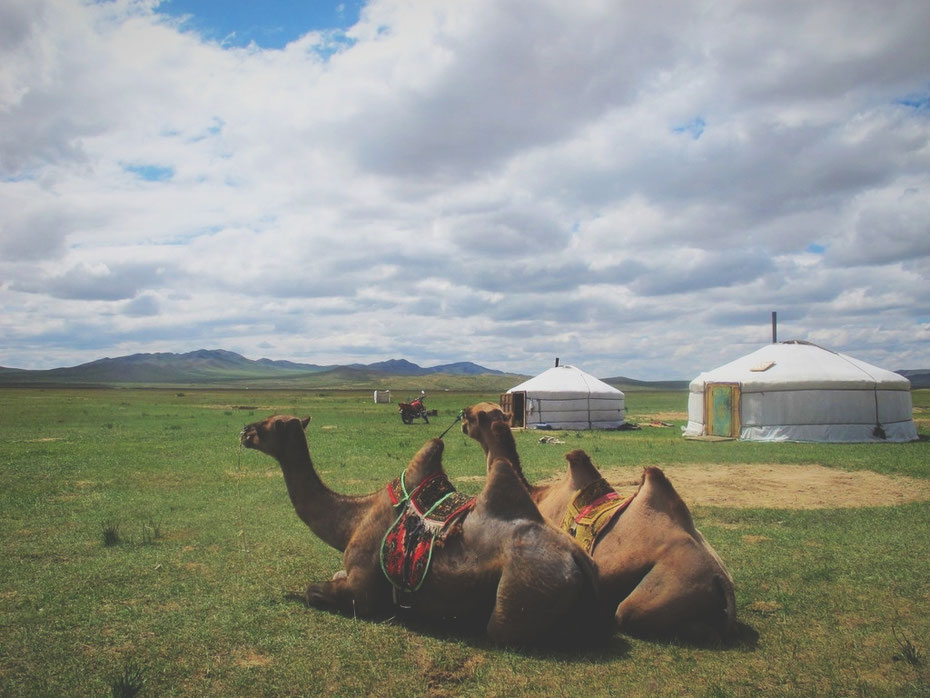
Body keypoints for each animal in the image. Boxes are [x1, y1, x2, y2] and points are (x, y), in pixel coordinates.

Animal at [239, 410, 604, 644]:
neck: (352, 520)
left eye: (275, 423)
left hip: (522, 591)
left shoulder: (363, 590)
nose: (245, 431)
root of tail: (578, 558)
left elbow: (314, 592)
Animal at [460, 402, 736, 640]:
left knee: (629, 613)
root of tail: (720, 579)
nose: (461, 416)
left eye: (472, 415)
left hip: (662, 589)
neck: (536, 494)